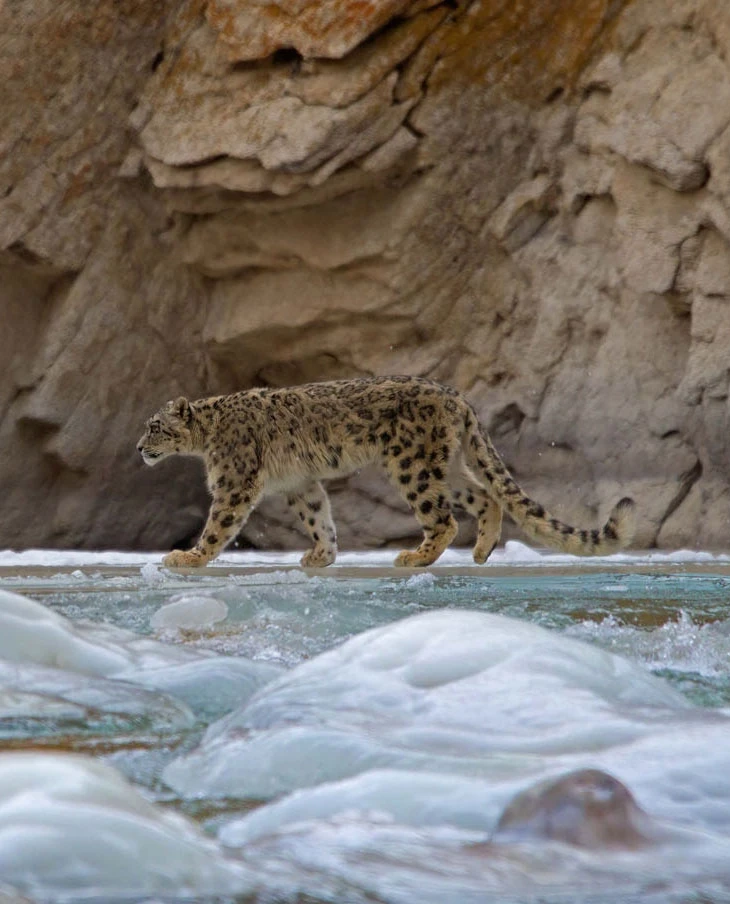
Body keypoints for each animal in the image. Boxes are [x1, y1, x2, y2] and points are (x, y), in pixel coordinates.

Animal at [137, 376, 635, 569]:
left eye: (154, 426)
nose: (139, 449)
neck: (207, 437)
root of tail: (454, 395)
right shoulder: (300, 483)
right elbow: (318, 516)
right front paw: (322, 555)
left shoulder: (234, 481)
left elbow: (219, 523)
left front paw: (188, 557)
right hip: (445, 466)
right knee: (484, 495)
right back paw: (482, 550)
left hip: (411, 463)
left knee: (443, 518)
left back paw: (415, 556)